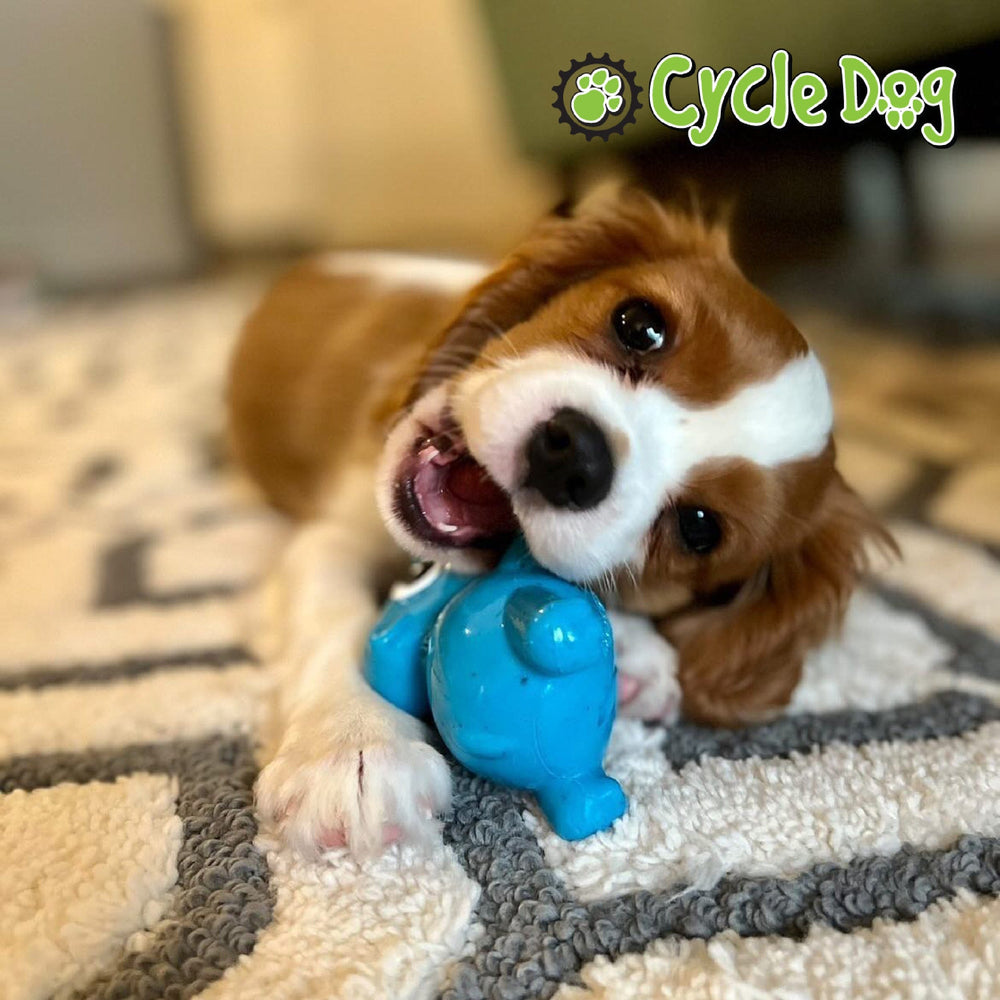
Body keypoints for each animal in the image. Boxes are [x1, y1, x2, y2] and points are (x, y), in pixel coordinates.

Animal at [229, 191, 892, 856]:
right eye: (640, 324)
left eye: (699, 528)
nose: (577, 458)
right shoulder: (333, 534)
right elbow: (334, 614)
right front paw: (354, 747)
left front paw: (637, 649)